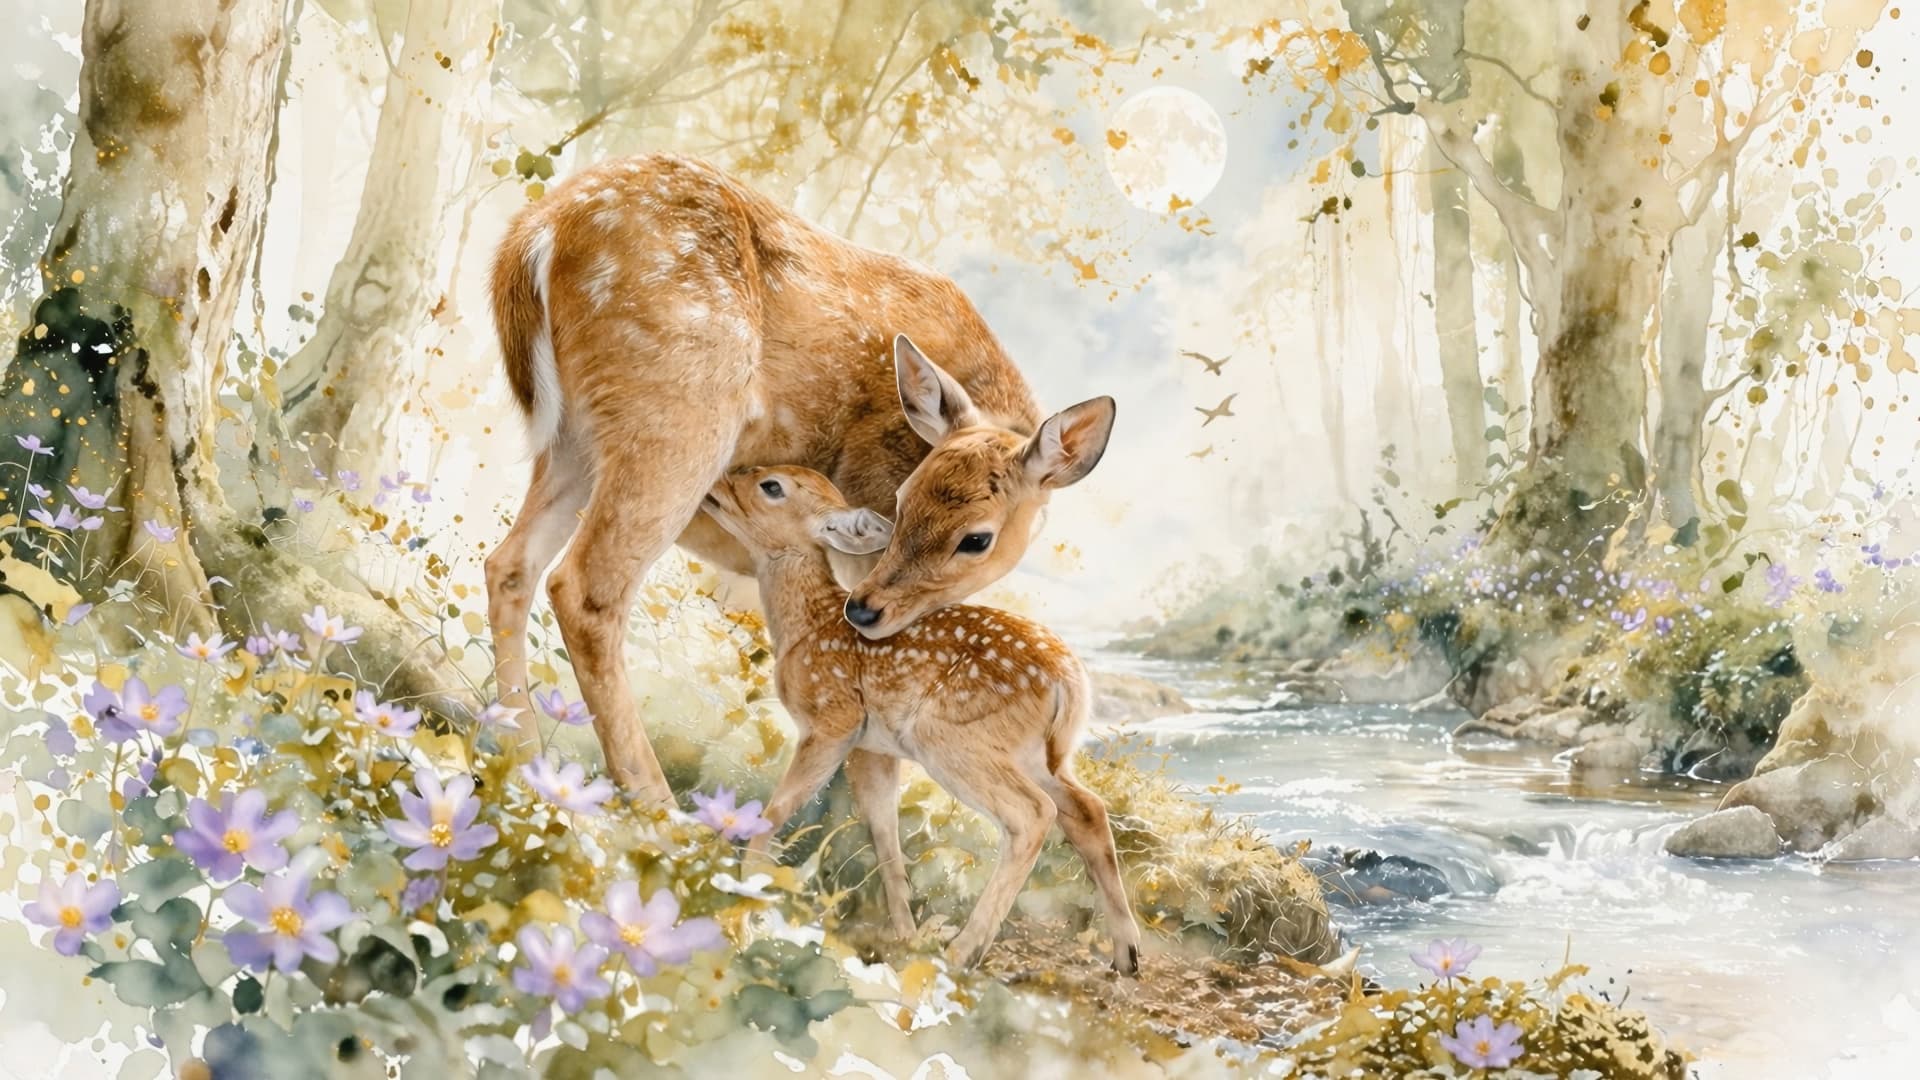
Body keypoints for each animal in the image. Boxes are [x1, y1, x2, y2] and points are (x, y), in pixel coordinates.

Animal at [483, 153, 1117, 809]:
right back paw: (653, 799)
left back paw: (520, 752)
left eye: (975, 538)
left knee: (510, 563)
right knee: (585, 587)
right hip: (677, 410)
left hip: (574, 439)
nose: (866, 611)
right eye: (900, 501)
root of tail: (538, 232)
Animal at [701, 465, 1142, 974]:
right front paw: (905, 936)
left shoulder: (833, 719)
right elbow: (885, 834)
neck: (807, 624)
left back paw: (963, 951)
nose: (715, 486)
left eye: (771, 486)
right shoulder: (873, 747)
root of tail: (1069, 682)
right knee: (1086, 807)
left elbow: (776, 810)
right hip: (1040, 754)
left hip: (951, 738)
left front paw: (746, 894)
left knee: (1033, 814)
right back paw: (1126, 955)